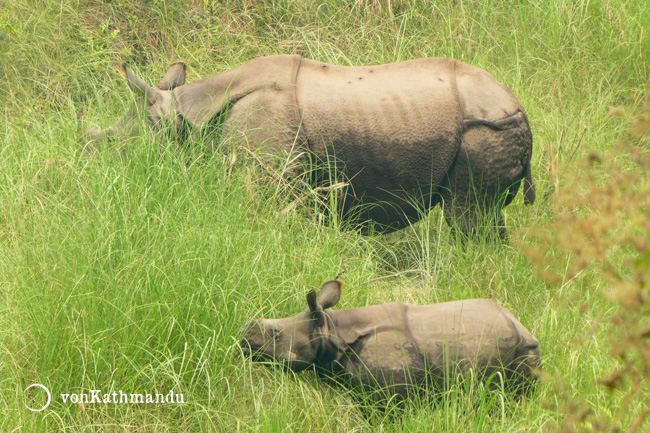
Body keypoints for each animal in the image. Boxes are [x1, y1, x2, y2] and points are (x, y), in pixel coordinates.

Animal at [83, 54, 536, 236]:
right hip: (492, 125)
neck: (184, 113)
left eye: (117, 143)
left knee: (468, 218)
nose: (89, 160)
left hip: (485, 129)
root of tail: (516, 103)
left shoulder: (267, 171)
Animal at [240, 278, 540, 400]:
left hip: (519, 350)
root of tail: (522, 326)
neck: (330, 330)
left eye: (274, 335)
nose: (243, 338)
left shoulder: (390, 391)